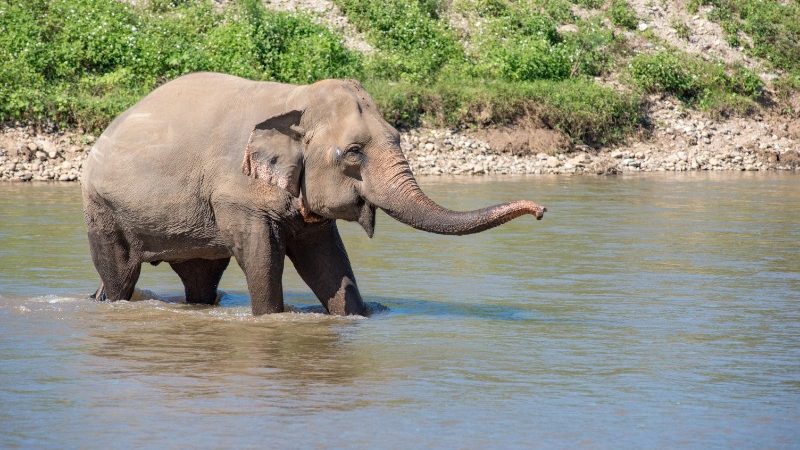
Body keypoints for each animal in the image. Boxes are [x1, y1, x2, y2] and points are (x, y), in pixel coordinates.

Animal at [83, 71, 544, 316]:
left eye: (397, 138)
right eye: (354, 152)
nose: (541, 210)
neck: (297, 97)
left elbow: (328, 261)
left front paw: (353, 313)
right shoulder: (237, 192)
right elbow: (262, 258)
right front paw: (271, 317)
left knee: (201, 277)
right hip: (103, 209)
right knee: (120, 272)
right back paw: (109, 301)